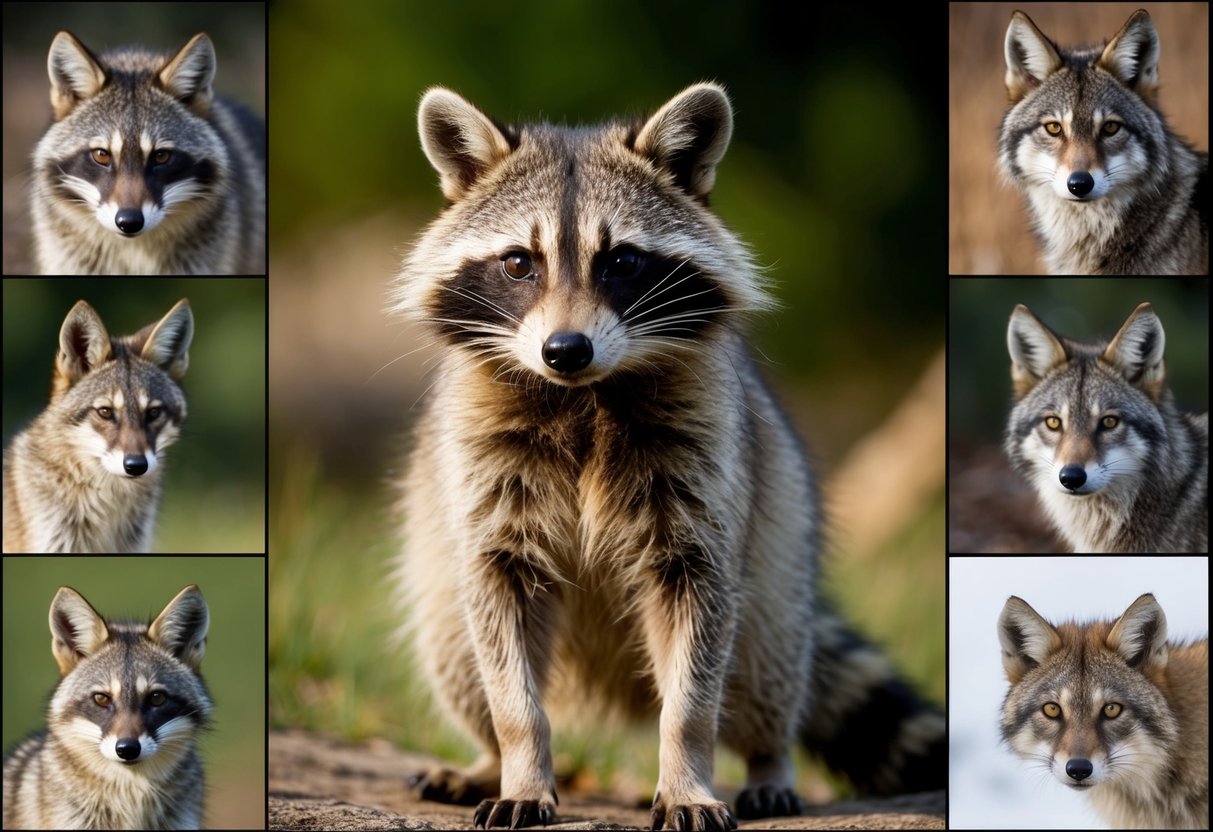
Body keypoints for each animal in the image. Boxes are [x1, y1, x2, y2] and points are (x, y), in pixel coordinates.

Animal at [392, 84, 945, 830]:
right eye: (517, 262)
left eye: (621, 262)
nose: (564, 350)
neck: (585, 396)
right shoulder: (485, 478)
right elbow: (502, 633)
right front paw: (520, 763)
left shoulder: (705, 473)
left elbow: (696, 657)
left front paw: (685, 772)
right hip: (435, 558)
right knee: (456, 648)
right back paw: (486, 758)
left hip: (776, 552)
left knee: (767, 664)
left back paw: (769, 760)